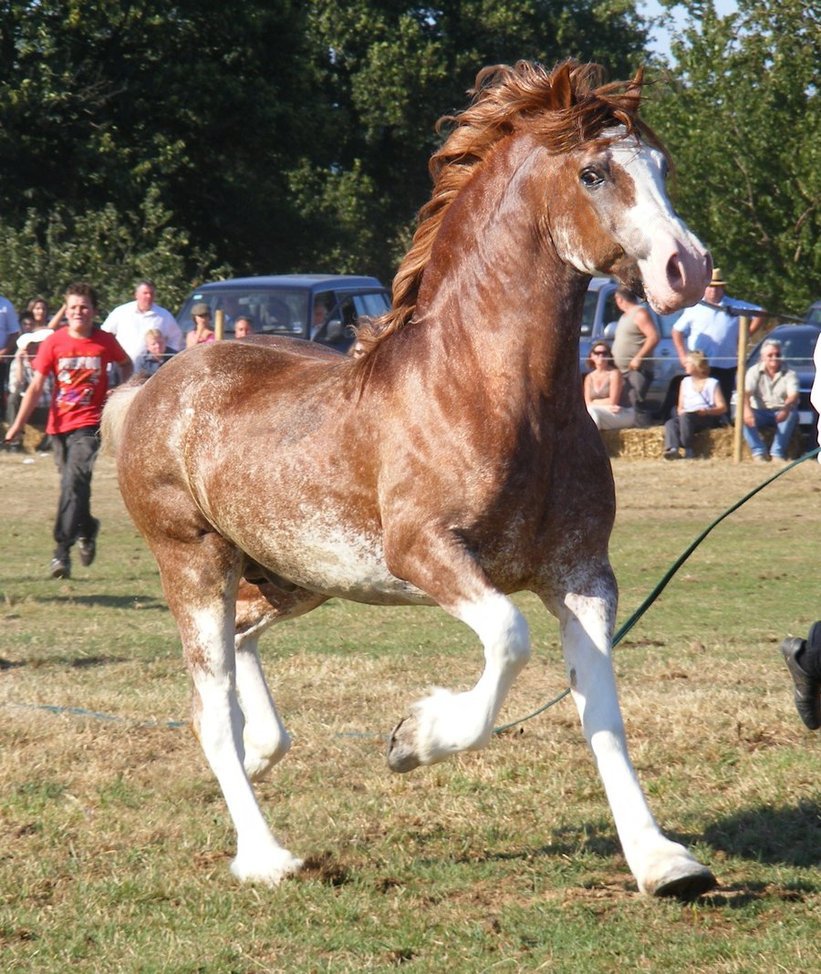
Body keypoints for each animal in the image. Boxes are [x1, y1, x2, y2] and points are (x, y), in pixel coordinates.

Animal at [104, 59, 716, 900]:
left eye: (660, 166)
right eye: (593, 172)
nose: (688, 269)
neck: (491, 392)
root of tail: (149, 388)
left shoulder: (583, 575)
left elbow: (602, 712)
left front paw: (664, 864)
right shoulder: (426, 553)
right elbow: (509, 641)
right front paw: (412, 738)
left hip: (294, 574)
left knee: (242, 647)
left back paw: (267, 746)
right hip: (193, 562)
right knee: (208, 706)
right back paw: (266, 857)